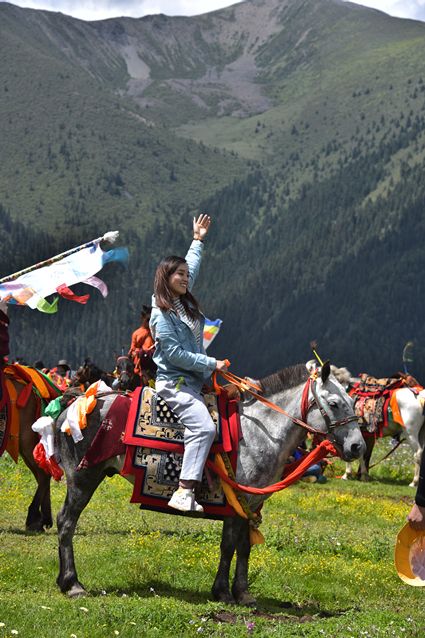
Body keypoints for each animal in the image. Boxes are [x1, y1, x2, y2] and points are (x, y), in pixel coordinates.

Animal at [55, 360, 365, 601]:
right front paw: (223, 592)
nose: (357, 447)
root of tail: (73, 406)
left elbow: (244, 547)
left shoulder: (250, 504)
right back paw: (73, 584)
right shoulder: (234, 504)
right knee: (66, 523)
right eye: (334, 403)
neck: (260, 433)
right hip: (83, 479)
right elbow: (228, 545)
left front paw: (243, 593)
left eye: (353, 401)